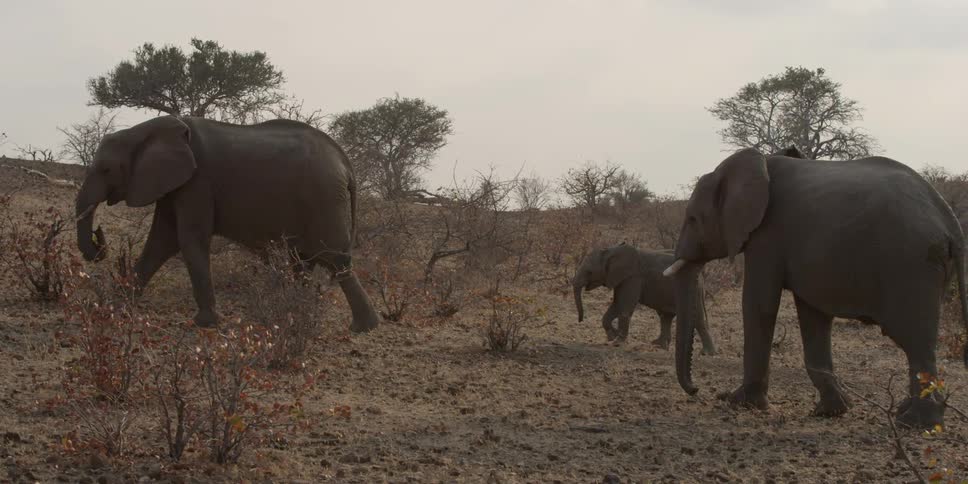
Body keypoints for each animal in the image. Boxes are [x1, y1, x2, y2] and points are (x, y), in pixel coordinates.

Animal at [75, 115, 382, 332]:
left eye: (106, 170)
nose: (99, 238)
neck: (145, 129)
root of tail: (345, 162)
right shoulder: (176, 183)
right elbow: (162, 242)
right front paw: (115, 306)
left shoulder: (198, 181)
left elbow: (188, 239)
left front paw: (204, 323)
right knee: (304, 259)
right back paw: (297, 313)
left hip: (323, 197)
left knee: (333, 257)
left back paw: (363, 327)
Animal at [573, 243, 716, 353]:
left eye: (589, 272)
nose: (580, 320)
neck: (610, 250)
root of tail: (701, 276)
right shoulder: (621, 278)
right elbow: (616, 304)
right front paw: (612, 337)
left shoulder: (633, 278)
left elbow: (625, 307)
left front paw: (617, 343)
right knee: (665, 317)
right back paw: (658, 345)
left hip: (691, 290)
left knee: (697, 319)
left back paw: (707, 353)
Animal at [664, 146, 968, 428]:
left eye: (693, 219)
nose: (696, 390)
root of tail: (950, 221)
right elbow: (813, 315)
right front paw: (833, 410)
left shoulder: (768, 235)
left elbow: (759, 304)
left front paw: (739, 402)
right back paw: (908, 413)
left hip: (911, 265)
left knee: (915, 342)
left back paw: (915, 423)